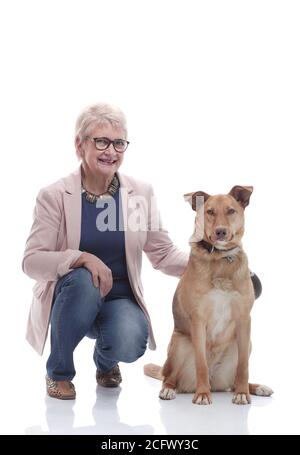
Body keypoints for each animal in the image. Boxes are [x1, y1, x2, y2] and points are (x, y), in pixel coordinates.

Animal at [144, 185, 274, 406]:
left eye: (231, 211)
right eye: (210, 212)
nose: (220, 231)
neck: (221, 258)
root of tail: (216, 382)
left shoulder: (244, 320)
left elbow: (244, 367)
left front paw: (243, 393)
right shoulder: (198, 320)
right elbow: (201, 364)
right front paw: (202, 394)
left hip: (244, 344)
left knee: (234, 379)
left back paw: (255, 388)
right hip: (179, 344)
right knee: (169, 377)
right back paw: (169, 390)